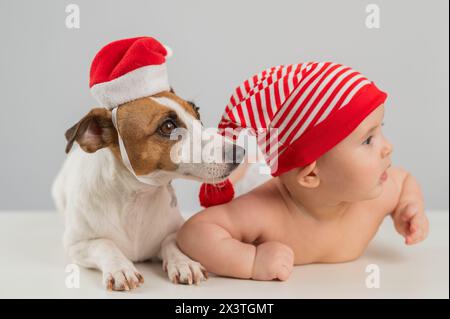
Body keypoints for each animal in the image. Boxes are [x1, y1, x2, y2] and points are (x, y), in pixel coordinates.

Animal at [51, 90, 246, 292]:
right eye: (168, 126)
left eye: (197, 113)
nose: (240, 152)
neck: (138, 198)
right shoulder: (77, 244)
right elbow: (105, 244)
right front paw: (120, 268)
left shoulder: (175, 230)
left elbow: (170, 240)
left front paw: (183, 262)